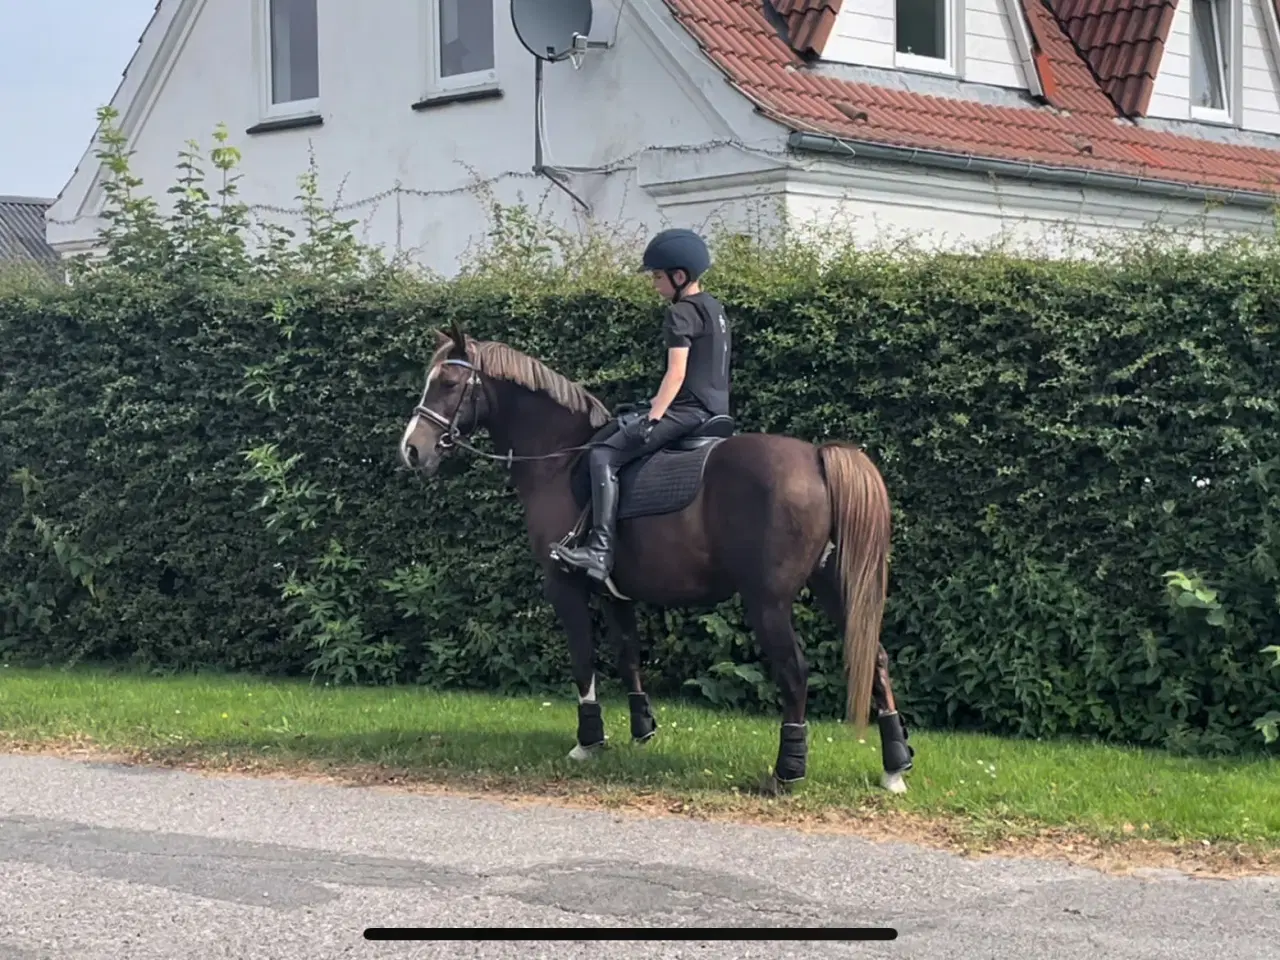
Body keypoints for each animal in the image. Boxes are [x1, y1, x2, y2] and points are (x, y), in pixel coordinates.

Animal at [397, 322, 914, 794]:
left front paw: (588, 740)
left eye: (448, 383)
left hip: (768, 602)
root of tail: (817, 459)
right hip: (835, 588)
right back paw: (895, 765)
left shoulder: (564, 587)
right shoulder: (615, 593)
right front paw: (641, 731)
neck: (561, 459)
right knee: (876, 656)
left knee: (795, 672)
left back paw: (788, 770)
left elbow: (583, 658)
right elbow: (628, 655)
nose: (412, 450)